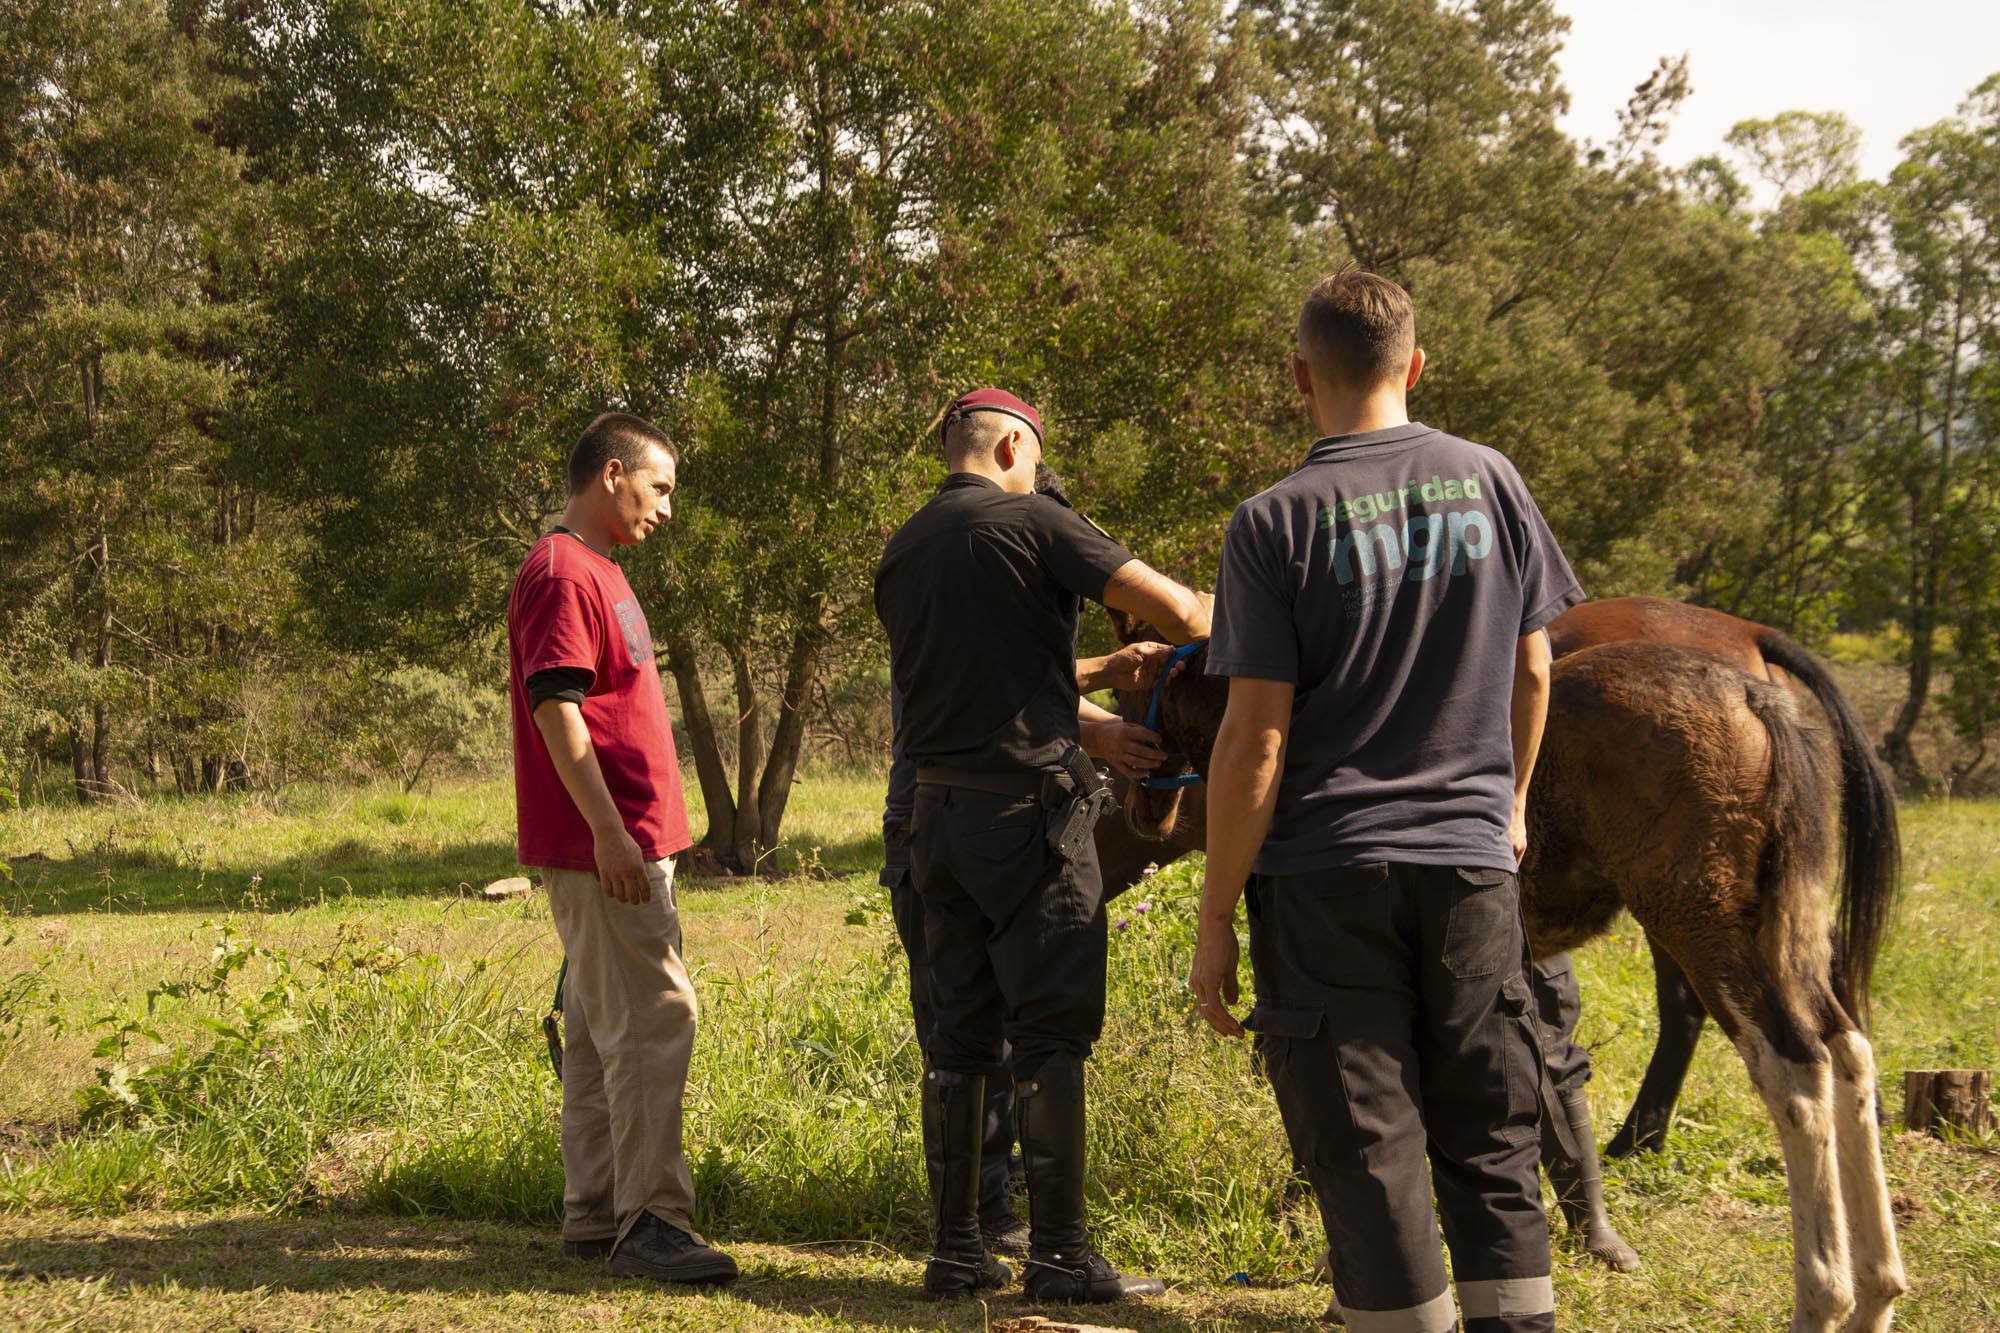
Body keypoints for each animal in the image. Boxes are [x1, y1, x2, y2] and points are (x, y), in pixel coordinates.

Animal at [1112, 624, 1904, 1328]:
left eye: (1130, 698)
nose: (1140, 808)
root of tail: (1749, 691)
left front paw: (1344, 1284)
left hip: (1702, 924)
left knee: (1795, 1070)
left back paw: (1824, 1297)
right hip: (1787, 930)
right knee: (1848, 1051)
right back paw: (1876, 1291)